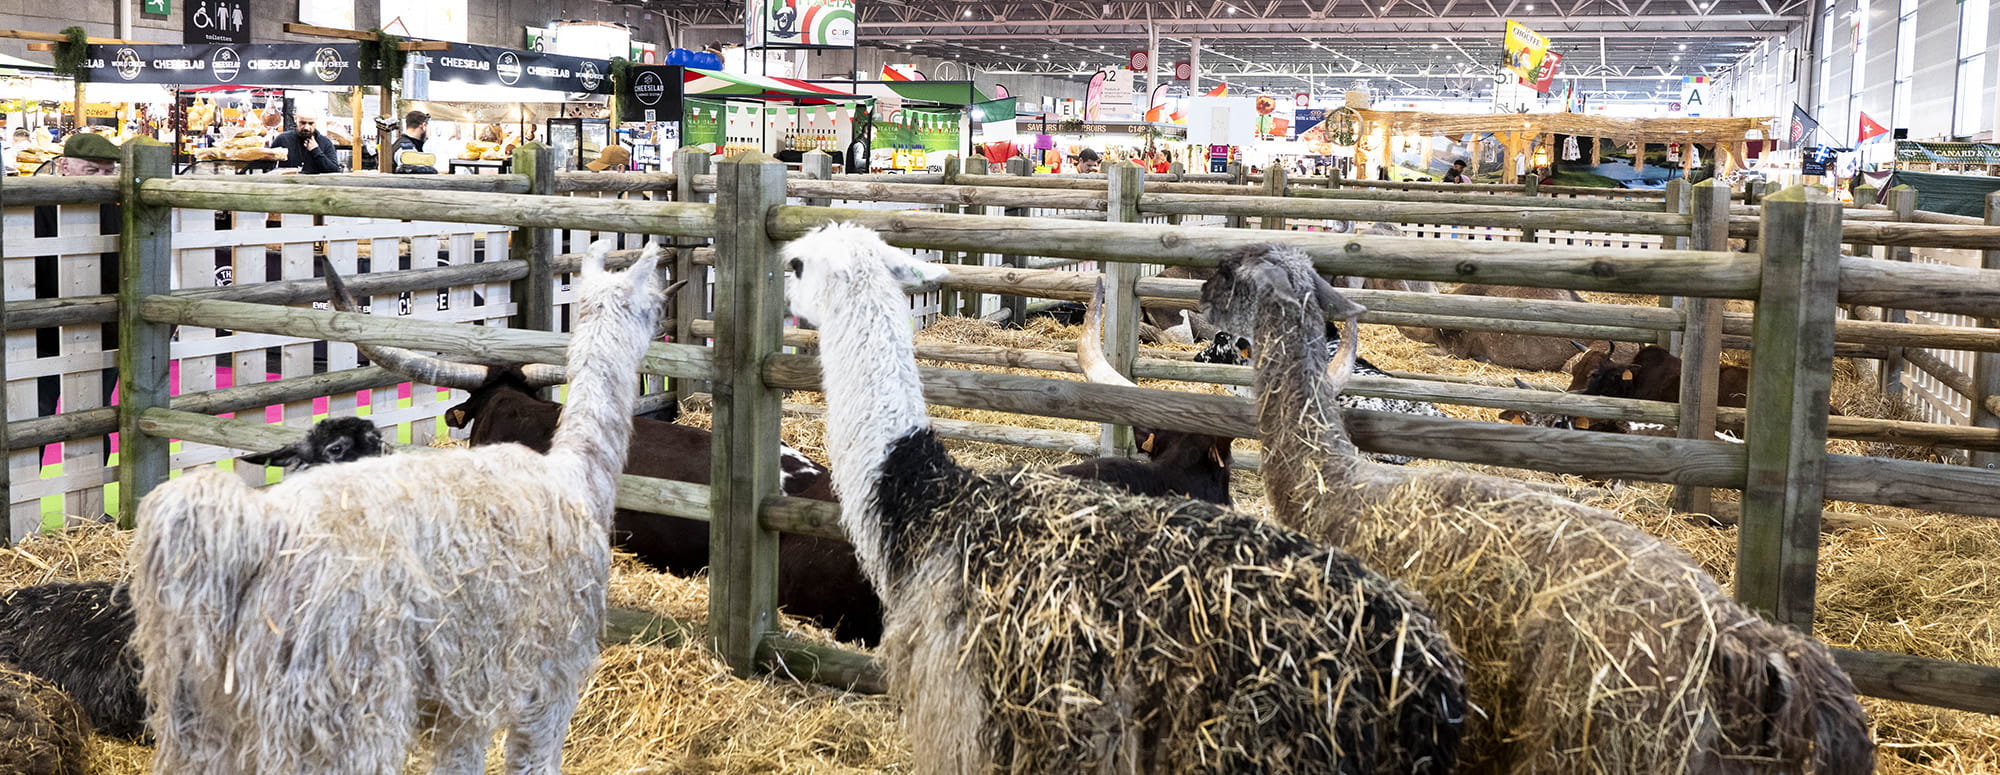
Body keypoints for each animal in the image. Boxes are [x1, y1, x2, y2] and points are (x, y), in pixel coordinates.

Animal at [129, 238, 668, 771]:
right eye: (654, 301)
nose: (661, 329)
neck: (577, 476)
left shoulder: (464, 699)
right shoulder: (553, 675)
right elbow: (532, 761)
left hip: (206, 717)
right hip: (347, 709)